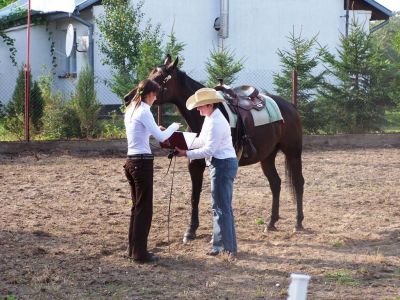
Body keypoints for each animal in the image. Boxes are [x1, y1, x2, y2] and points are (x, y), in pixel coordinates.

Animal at [123, 54, 304, 241]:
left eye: (159, 78)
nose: (128, 98)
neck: (203, 118)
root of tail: (290, 106)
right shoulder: (195, 165)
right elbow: (194, 197)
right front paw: (191, 230)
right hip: (267, 157)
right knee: (275, 183)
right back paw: (271, 223)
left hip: (293, 152)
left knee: (298, 183)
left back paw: (298, 223)